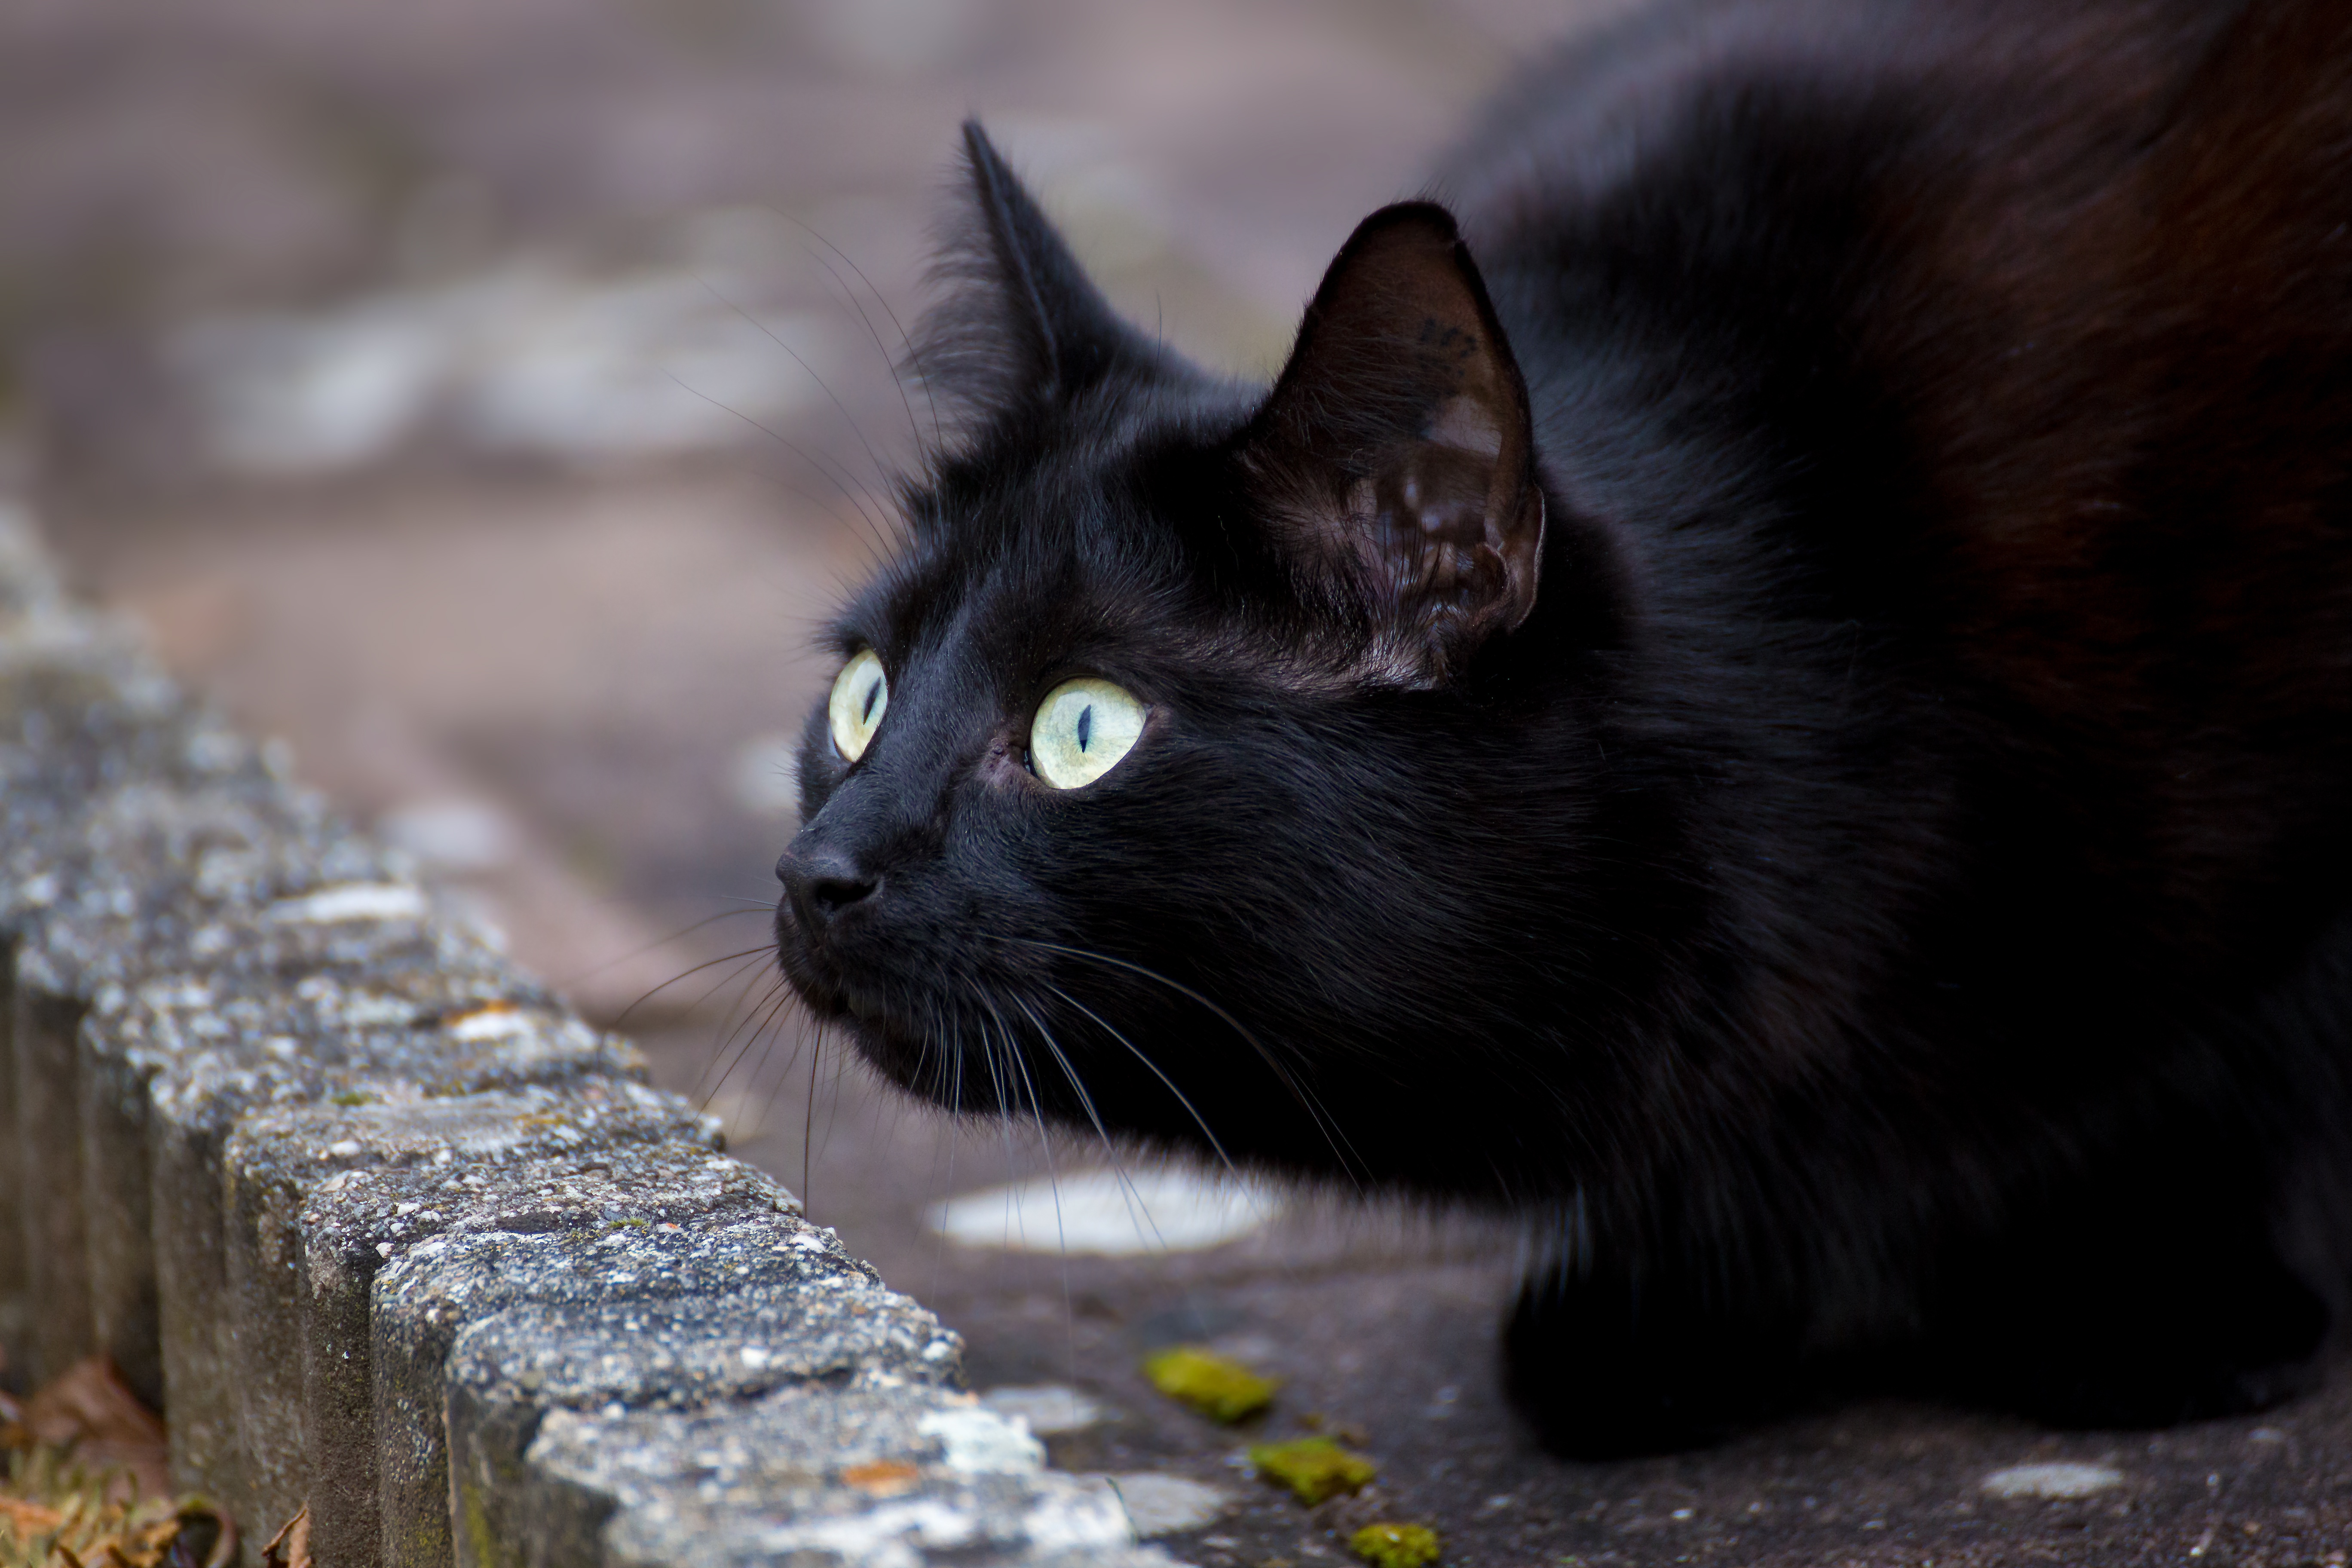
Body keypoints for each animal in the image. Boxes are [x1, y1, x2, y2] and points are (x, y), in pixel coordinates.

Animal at [781, 0, 2352, 1457]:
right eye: (863, 694)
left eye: (1082, 729)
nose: (816, 872)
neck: (1843, 584)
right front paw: (1668, 1321)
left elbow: (2251, 1073)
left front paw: (2164, 1301)